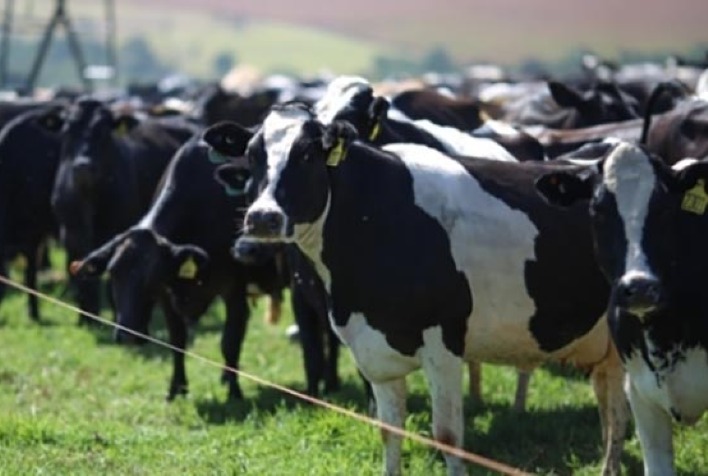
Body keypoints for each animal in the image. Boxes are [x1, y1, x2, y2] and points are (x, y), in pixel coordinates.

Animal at [51, 97, 198, 323]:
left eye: (104, 131)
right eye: (68, 129)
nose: (83, 166)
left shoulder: (116, 230)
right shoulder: (71, 235)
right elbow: (82, 278)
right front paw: (87, 319)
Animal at [68, 132, 284, 401]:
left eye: (150, 277)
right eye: (113, 275)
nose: (127, 336)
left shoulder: (234, 291)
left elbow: (230, 342)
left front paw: (234, 391)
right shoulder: (167, 296)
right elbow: (177, 341)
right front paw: (176, 388)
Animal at [216, 103, 629, 476]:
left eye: (305, 154)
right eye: (252, 155)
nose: (263, 217)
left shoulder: (443, 344)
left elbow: (447, 436)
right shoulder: (373, 351)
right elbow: (390, 432)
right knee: (611, 409)